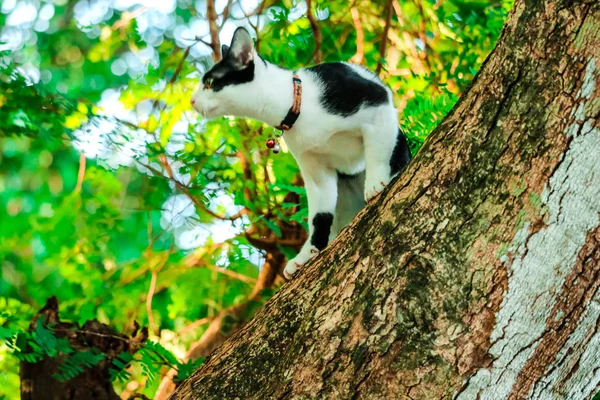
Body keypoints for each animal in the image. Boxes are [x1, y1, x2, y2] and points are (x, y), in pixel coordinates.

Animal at [192, 26, 412, 280]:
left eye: (209, 82)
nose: (192, 100)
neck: (296, 105)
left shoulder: (376, 101)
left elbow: (377, 152)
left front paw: (376, 182)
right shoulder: (315, 169)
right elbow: (319, 216)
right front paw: (307, 254)